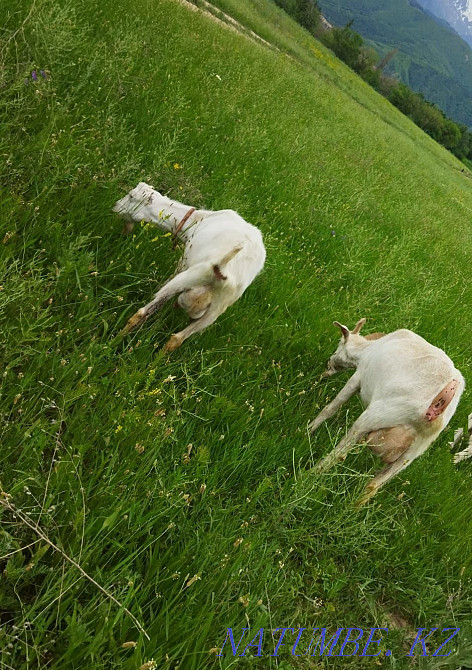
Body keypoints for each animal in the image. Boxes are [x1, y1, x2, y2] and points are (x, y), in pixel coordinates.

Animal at [113, 182, 266, 351]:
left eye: (130, 196)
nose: (115, 206)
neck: (198, 220)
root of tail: (222, 269)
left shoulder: (183, 263)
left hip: (186, 279)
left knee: (141, 314)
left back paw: (113, 343)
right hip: (217, 308)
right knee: (177, 339)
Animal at [308, 318, 464, 505]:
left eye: (339, 344)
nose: (328, 363)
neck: (366, 349)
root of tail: (436, 408)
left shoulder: (358, 377)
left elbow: (331, 407)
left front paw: (308, 430)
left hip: (379, 414)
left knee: (337, 455)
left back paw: (308, 475)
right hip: (412, 453)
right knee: (373, 486)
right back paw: (352, 507)